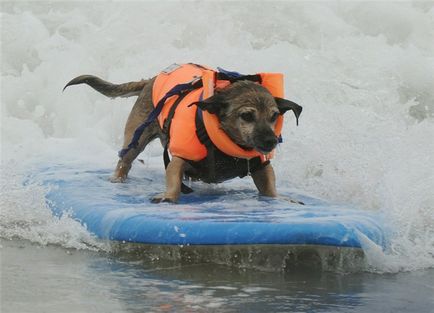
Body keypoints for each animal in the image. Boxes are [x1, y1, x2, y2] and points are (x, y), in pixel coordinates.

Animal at [64, 64, 302, 204]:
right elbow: (173, 178)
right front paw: (168, 196)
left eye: (274, 116)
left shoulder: (262, 167)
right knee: (125, 161)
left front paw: (282, 199)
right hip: (136, 139)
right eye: (247, 116)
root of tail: (150, 80)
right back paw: (118, 178)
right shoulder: (178, 160)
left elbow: (269, 187)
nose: (271, 141)